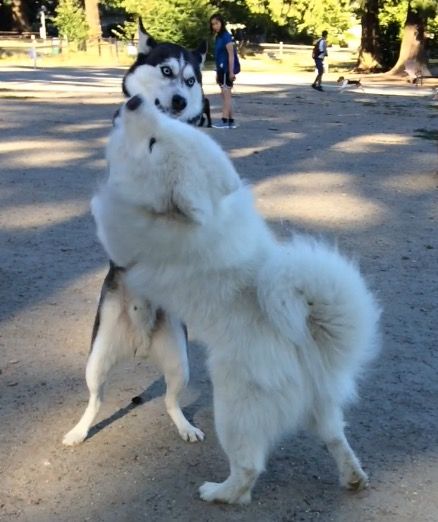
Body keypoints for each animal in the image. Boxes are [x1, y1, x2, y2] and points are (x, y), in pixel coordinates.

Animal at [63, 22, 209, 444]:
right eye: (166, 71)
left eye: (190, 80)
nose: (179, 101)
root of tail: (140, 343)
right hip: (96, 361)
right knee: (94, 401)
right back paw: (78, 432)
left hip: (180, 361)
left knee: (171, 402)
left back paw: (185, 426)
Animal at [91, 95, 380, 502]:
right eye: (164, 125)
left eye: (152, 143)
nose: (134, 100)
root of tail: (306, 342)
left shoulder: (121, 240)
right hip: (321, 407)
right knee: (336, 440)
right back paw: (353, 477)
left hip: (232, 412)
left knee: (248, 470)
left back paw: (218, 493)